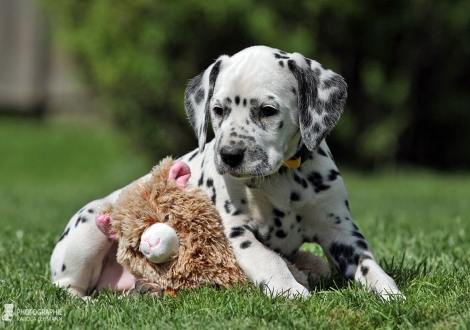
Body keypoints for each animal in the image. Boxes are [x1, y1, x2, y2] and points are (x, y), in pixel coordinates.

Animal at [51, 45, 404, 300]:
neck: (282, 179)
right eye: (218, 111)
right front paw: (290, 291)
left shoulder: (340, 232)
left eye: (267, 111)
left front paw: (390, 293)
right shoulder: (236, 232)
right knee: (65, 287)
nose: (230, 155)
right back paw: (86, 302)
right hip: (89, 228)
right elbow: (269, 259)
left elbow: (369, 265)